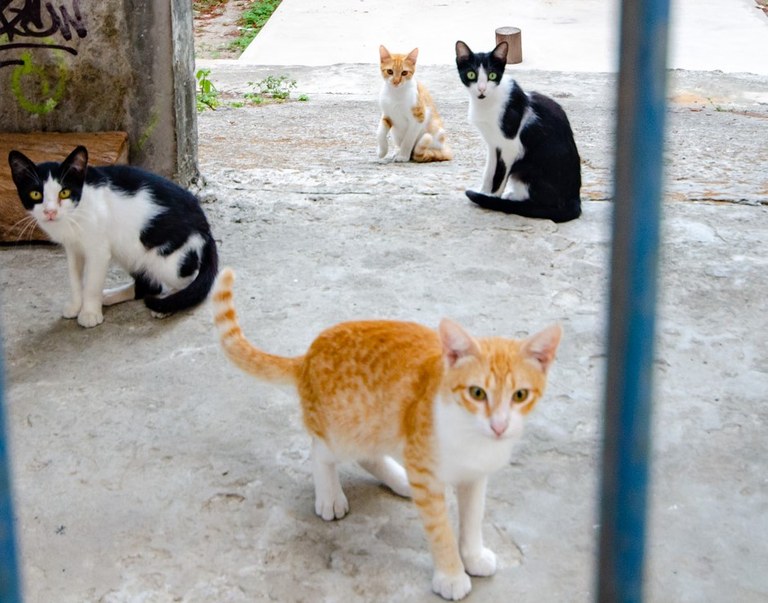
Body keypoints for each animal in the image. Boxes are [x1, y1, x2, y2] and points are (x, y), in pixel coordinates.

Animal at [8, 146, 219, 328]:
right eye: (36, 194)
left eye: (65, 192)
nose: (50, 212)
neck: (76, 213)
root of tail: (205, 225)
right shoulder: (73, 248)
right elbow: (74, 278)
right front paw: (76, 306)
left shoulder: (98, 250)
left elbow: (92, 283)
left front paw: (89, 313)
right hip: (129, 250)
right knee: (150, 285)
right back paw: (111, 296)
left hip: (166, 260)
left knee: (188, 281)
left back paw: (168, 305)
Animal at [213, 270, 560, 603]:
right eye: (477, 393)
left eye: (520, 395)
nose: (499, 426)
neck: (469, 435)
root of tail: (307, 355)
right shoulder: (426, 476)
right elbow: (441, 531)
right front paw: (451, 575)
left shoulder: (475, 476)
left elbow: (473, 518)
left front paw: (472, 556)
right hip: (344, 429)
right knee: (320, 450)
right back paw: (329, 495)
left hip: (378, 424)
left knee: (368, 454)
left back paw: (398, 478)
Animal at [456, 40, 584, 224]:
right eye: (471, 74)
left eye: (492, 76)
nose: (481, 89)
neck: (487, 103)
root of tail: (575, 199)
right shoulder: (494, 145)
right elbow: (490, 172)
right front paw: (485, 191)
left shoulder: (510, 147)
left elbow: (500, 176)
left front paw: (491, 198)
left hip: (528, 168)